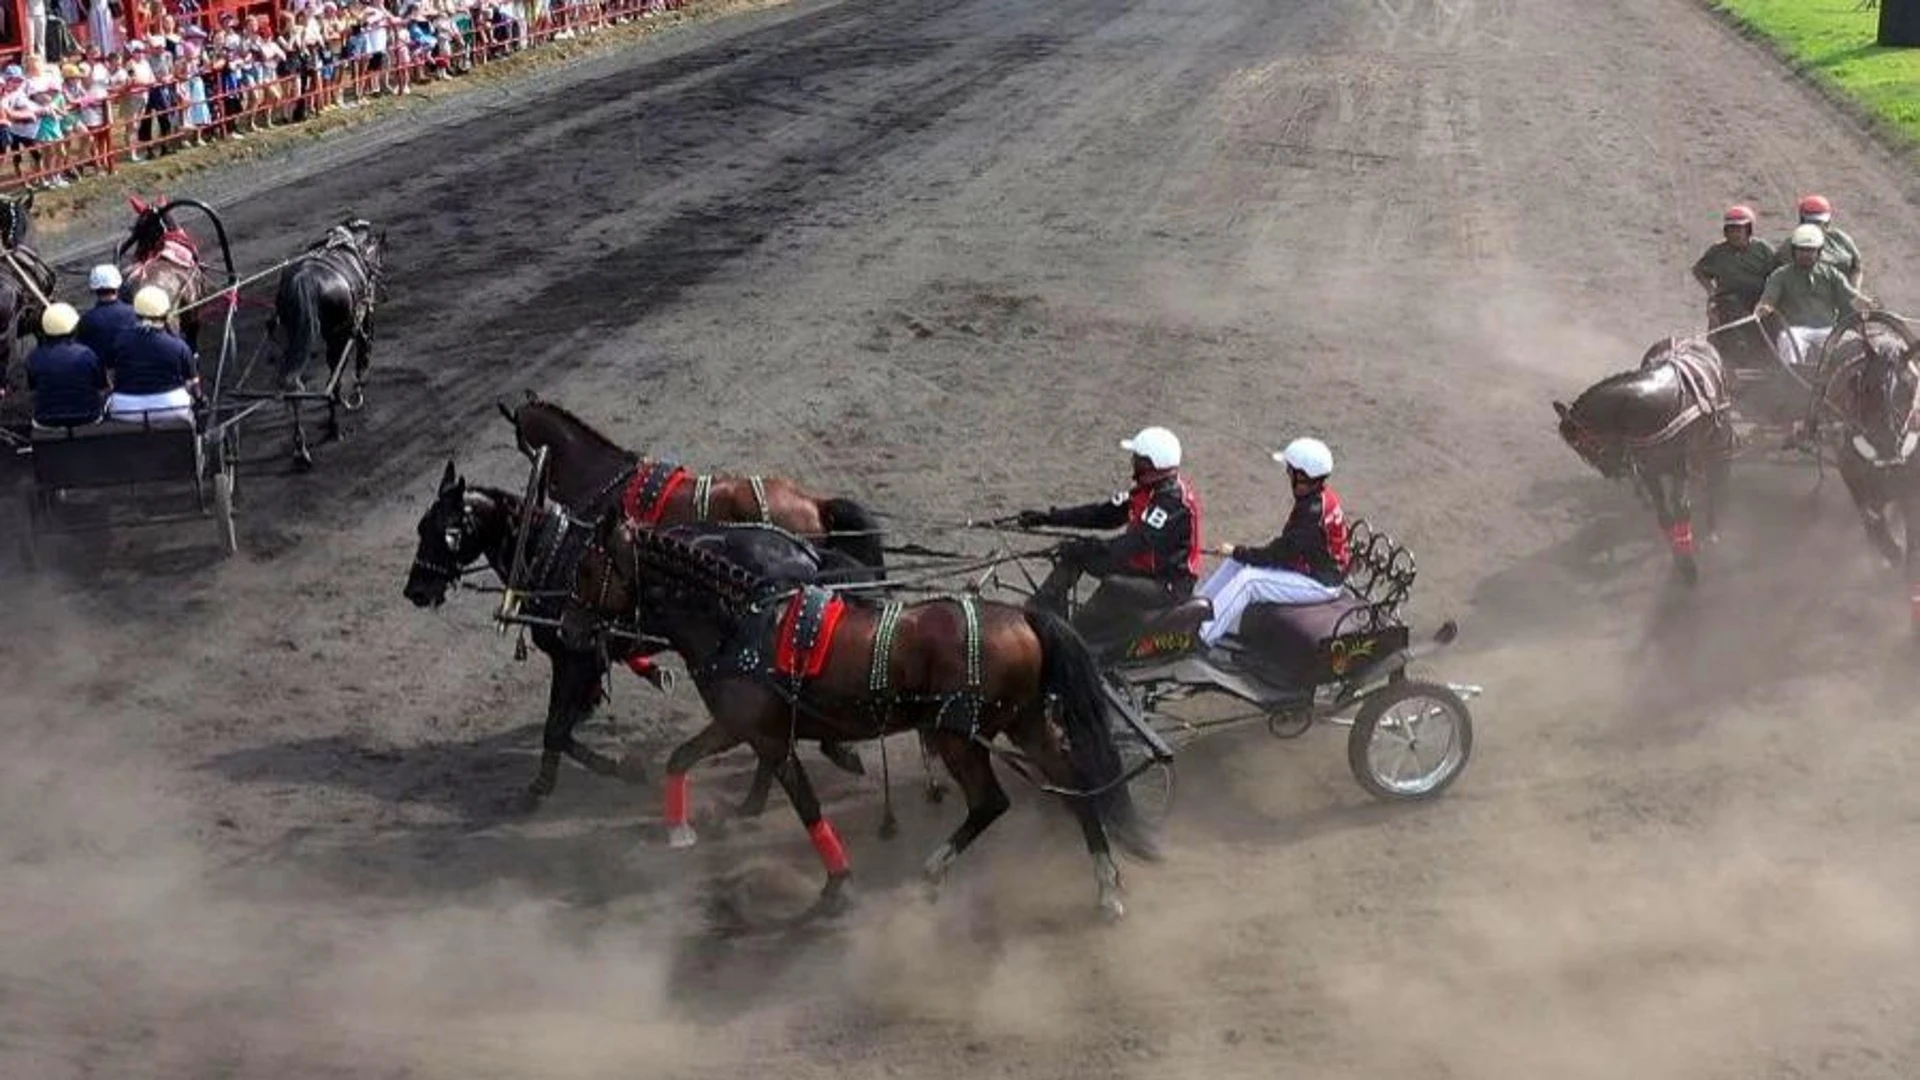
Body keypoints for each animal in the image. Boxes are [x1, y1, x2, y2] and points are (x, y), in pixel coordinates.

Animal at [268, 219, 387, 466]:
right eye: (381, 254)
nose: (378, 274)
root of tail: (305, 280)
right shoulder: (361, 319)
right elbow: (363, 348)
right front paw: (360, 382)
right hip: (336, 335)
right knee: (332, 381)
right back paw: (334, 427)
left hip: (294, 336)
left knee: (293, 384)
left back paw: (300, 447)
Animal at [405, 457, 879, 803]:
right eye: (420, 527)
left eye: (444, 532)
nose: (415, 590)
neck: (552, 555)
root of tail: (806, 552)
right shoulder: (587, 658)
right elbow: (567, 724)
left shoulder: (573, 659)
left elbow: (556, 729)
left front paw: (576, 778)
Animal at [556, 511, 1152, 914]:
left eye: (586, 569)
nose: (568, 629)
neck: (741, 624)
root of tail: (1023, 618)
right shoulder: (736, 726)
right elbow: (679, 758)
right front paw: (681, 829)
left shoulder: (764, 735)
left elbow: (806, 805)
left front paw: (836, 882)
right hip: (1024, 723)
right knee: (1075, 785)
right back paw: (1106, 884)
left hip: (959, 735)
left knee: (992, 802)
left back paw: (934, 870)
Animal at [1543, 338, 1743, 584]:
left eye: (1584, 446)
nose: (1612, 471)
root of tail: (1696, 340)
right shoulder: (1650, 470)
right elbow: (1664, 516)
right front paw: (1679, 557)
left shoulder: (1680, 465)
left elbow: (1681, 508)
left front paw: (1689, 566)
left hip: (1715, 437)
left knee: (1714, 478)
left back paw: (1713, 523)